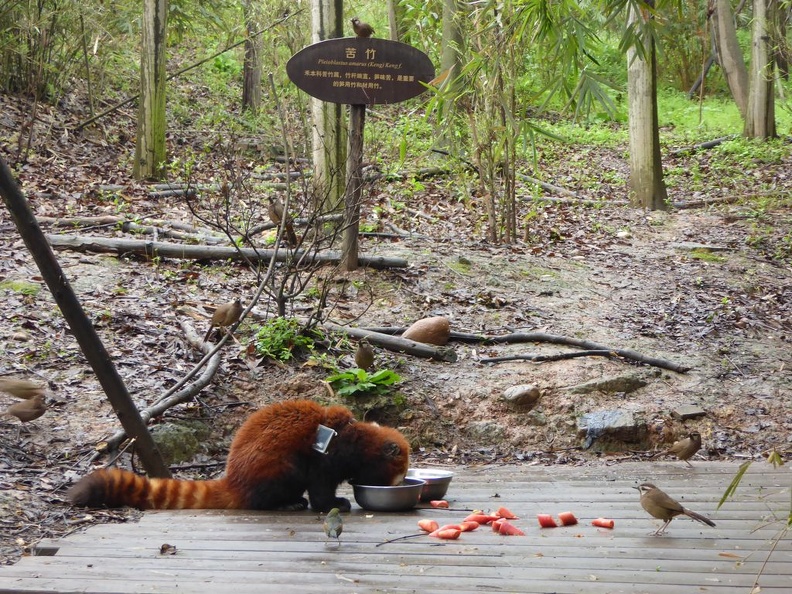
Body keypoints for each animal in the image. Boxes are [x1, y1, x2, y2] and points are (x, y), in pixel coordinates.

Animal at [68, 400, 408, 512]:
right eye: (401, 475)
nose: (398, 486)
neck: (354, 439)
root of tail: (233, 479)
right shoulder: (325, 456)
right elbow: (321, 486)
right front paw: (333, 504)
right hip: (278, 466)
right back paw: (286, 503)